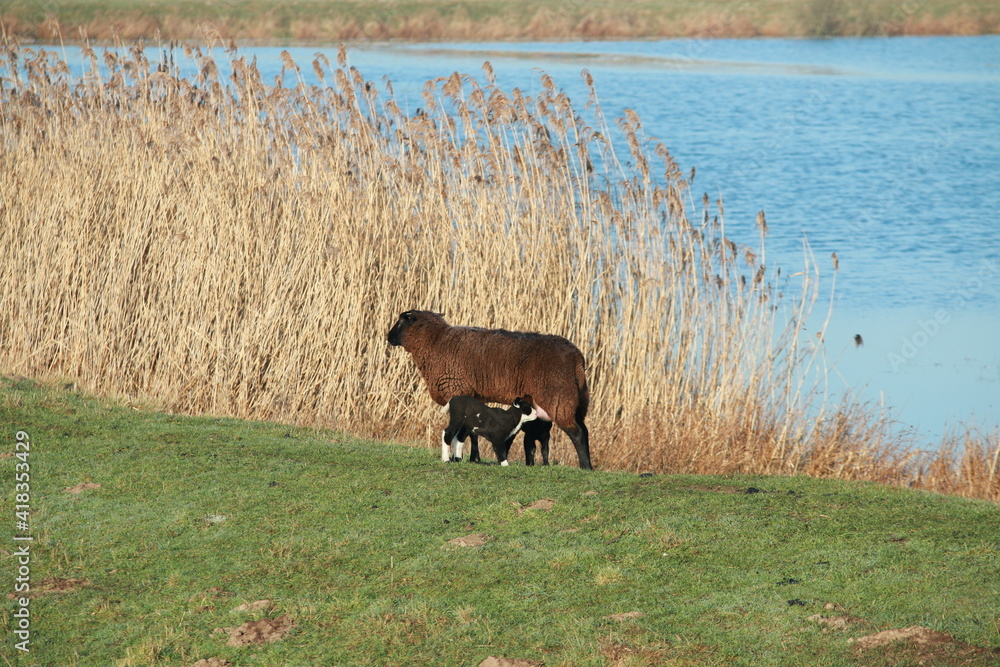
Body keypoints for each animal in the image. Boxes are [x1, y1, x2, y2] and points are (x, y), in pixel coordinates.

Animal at [386, 310, 593, 470]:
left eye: (401, 321)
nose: (388, 337)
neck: (435, 342)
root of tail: (577, 358)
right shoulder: (471, 396)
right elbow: (471, 431)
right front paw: (473, 458)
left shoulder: (457, 389)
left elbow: (464, 432)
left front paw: (464, 457)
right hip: (579, 400)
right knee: (585, 430)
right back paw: (589, 465)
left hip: (559, 397)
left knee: (577, 433)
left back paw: (584, 467)